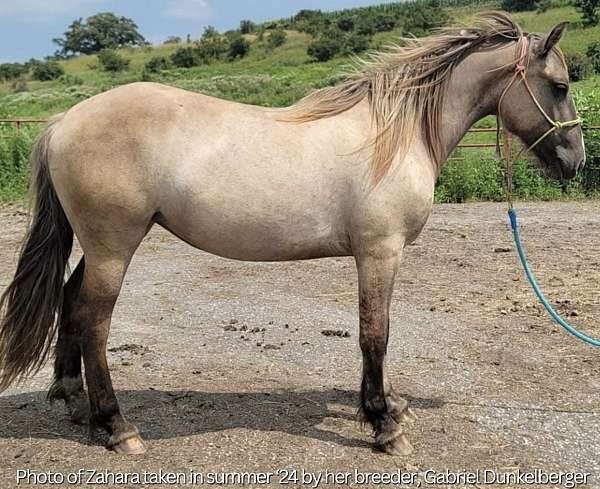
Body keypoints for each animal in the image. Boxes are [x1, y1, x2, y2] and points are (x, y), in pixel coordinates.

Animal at [0, 13, 584, 456]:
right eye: (559, 87)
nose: (576, 162)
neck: (397, 133)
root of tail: (64, 120)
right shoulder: (379, 253)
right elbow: (375, 333)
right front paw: (383, 425)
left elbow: (376, 334)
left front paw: (390, 407)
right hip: (114, 246)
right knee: (94, 321)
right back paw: (118, 428)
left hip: (101, 245)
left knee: (71, 303)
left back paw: (78, 407)